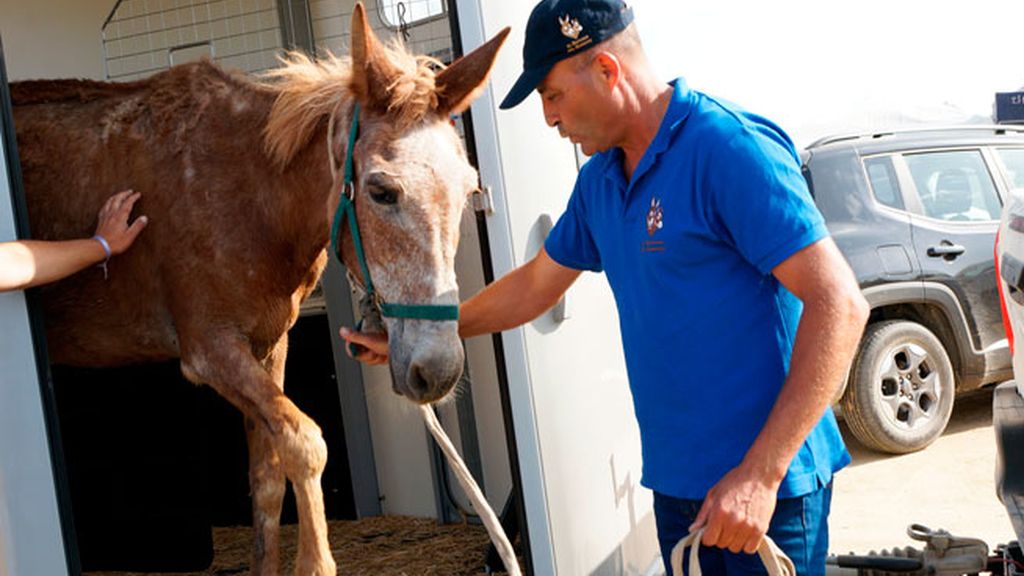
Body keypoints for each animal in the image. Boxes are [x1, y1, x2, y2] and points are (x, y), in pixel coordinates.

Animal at [6, 3, 505, 569]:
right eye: (381, 190)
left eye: (469, 188)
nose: (437, 370)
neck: (250, 195)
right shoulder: (211, 350)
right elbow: (305, 444)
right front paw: (316, 563)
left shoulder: (268, 346)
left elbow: (267, 480)